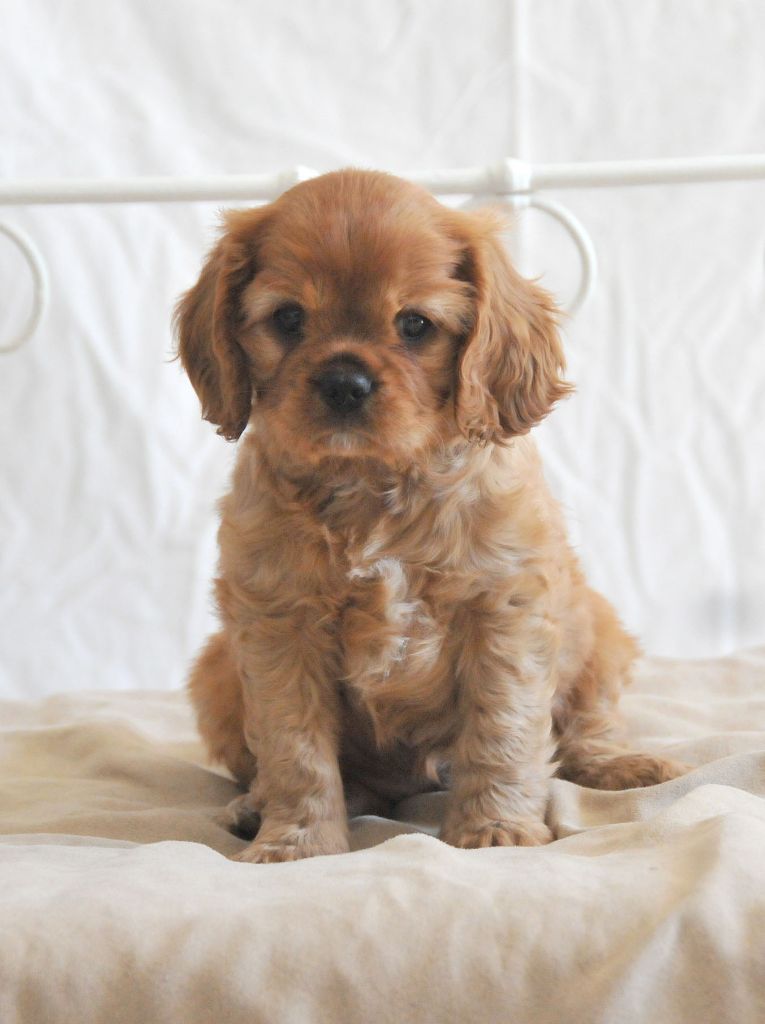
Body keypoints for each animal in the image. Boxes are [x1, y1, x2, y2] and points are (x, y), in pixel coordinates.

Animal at [176, 169, 686, 863]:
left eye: (415, 324)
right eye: (288, 318)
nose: (344, 382)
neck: (373, 485)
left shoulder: (504, 611)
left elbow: (502, 731)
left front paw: (496, 830)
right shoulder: (279, 624)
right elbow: (295, 750)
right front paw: (297, 842)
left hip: (599, 633)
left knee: (586, 728)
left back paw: (623, 764)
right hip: (216, 669)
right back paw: (262, 806)